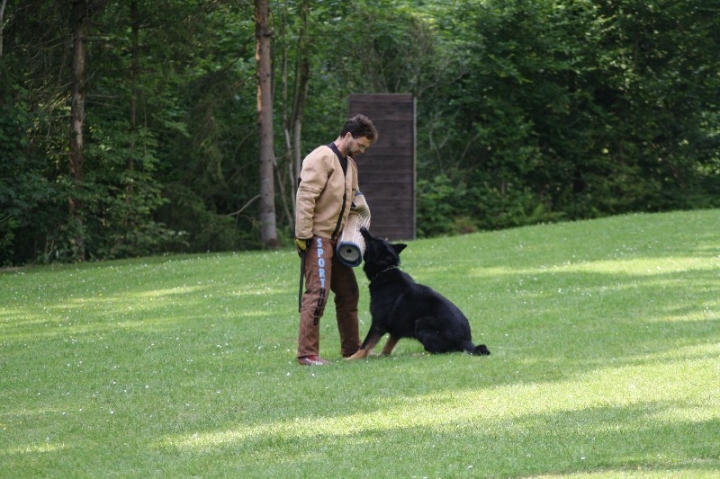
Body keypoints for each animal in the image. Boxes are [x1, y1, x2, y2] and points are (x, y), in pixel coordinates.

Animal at [348, 229, 492, 360]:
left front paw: (352, 358)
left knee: (441, 351)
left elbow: (366, 344)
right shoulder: (395, 327)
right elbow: (388, 344)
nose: (363, 229)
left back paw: (419, 354)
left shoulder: (378, 323)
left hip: (421, 323)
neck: (385, 271)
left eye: (373, 241)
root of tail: (465, 340)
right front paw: (383, 355)